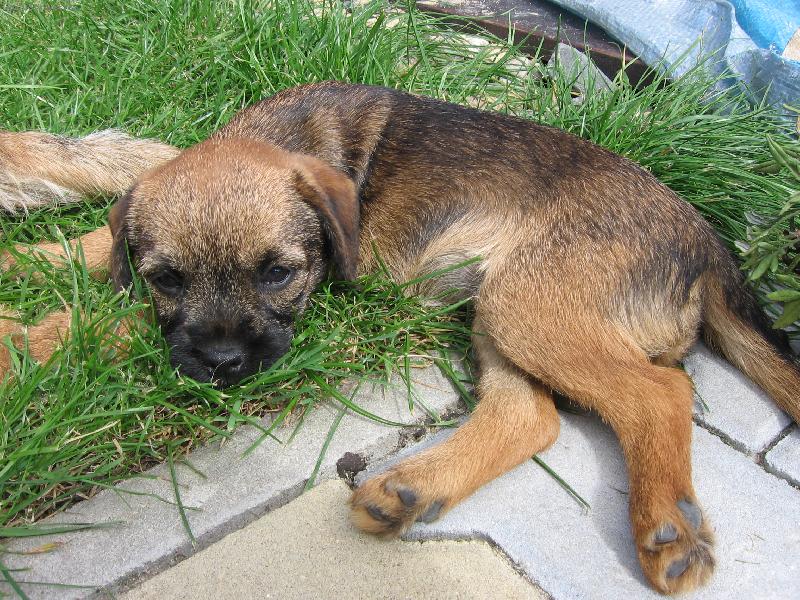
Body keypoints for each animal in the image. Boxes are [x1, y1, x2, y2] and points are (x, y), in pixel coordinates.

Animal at [1, 81, 798, 594]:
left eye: (278, 273)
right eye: (168, 277)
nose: (224, 364)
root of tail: (710, 245)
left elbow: (112, 316)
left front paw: (25, 341)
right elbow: (86, 250)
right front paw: (23, 265)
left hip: (528, 303)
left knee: (660, 389)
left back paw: (667, 527)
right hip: (501, 307)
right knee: (530, 415)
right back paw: (408, 491)